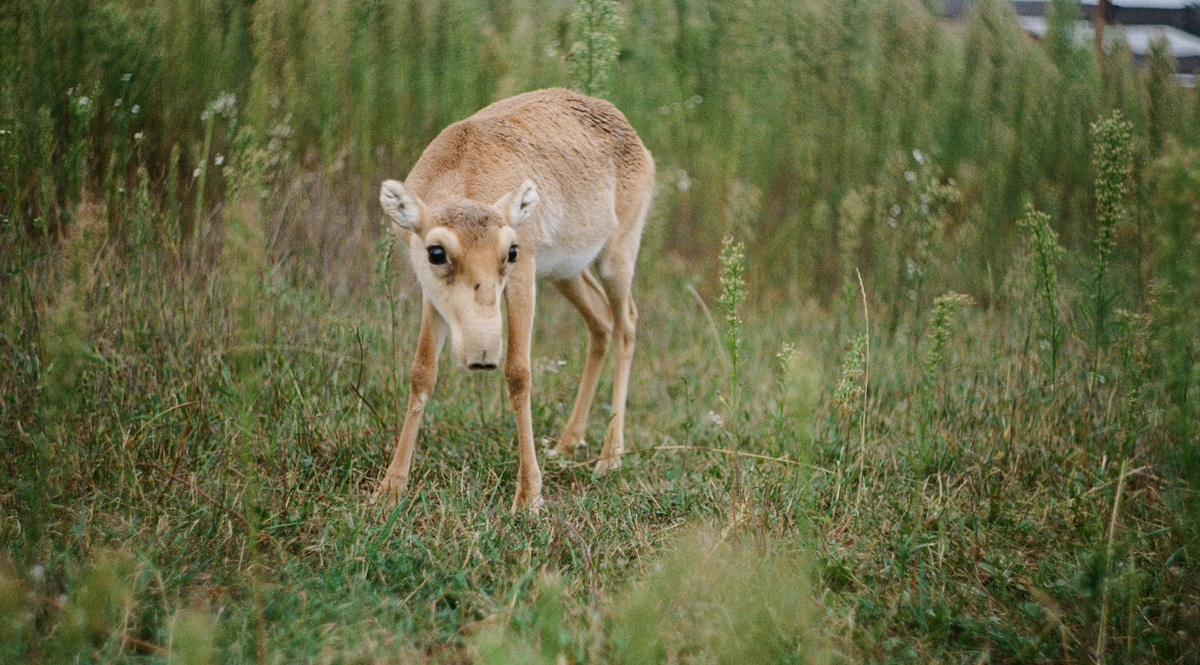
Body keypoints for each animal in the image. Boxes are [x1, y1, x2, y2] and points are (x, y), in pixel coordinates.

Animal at [374, 88, 657, 508]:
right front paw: (390, 488)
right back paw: (567, 442)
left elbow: (519, 372)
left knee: (627, 325)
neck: (463, 169)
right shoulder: (432, 295)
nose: (482, 354)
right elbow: (422, 372)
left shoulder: (524, 277)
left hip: (616, 257)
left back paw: (610, 456)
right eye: (436, 252)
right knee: (601, 322)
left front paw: (528, 494)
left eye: (511, 251)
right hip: (566, 272)